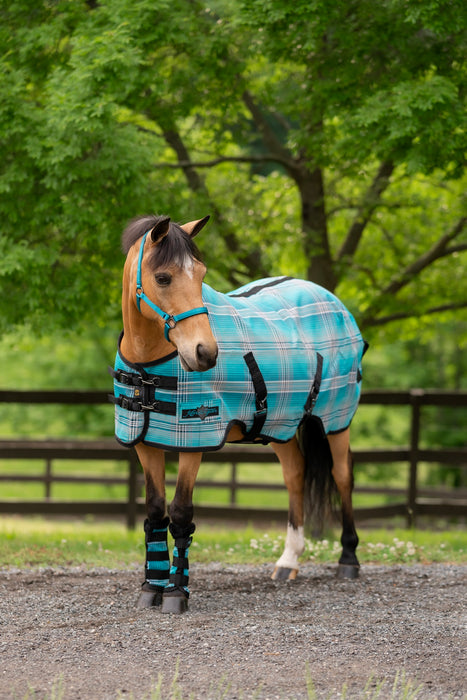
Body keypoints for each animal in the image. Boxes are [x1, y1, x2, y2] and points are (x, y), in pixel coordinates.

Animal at [110, 214, 367, 614]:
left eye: (201, 274)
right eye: (163, 277)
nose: (205, 353)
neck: (151, 361)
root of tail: (332, 301)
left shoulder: (196, 438)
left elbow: (180, 513)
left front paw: (176, 593)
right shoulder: (144, 442)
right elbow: (154, 512)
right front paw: (151, 588)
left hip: (334, 420)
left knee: (342, 476)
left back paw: (348, 560)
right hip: (281, 424)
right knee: (295, 475)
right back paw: (288, 562)